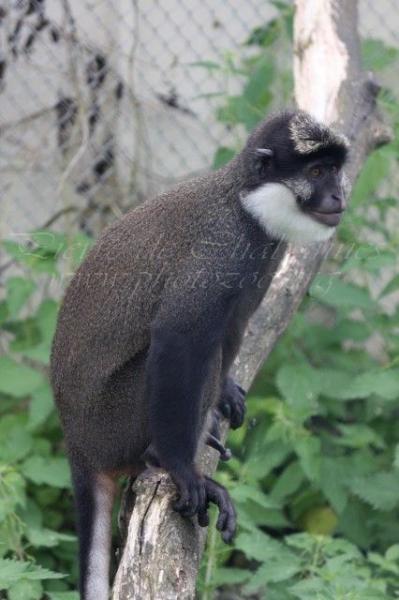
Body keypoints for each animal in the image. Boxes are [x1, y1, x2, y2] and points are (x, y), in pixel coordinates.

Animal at [50, 110, 350, 596]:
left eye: (336, 170)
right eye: (317, 172)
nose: (339, 194)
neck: (245, 203)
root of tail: (78, 445)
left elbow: (233, 324)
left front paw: (224, 393)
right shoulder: (219, 253)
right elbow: (178, 339)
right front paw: (181, 470)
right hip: (113, 422)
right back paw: (159, 458)